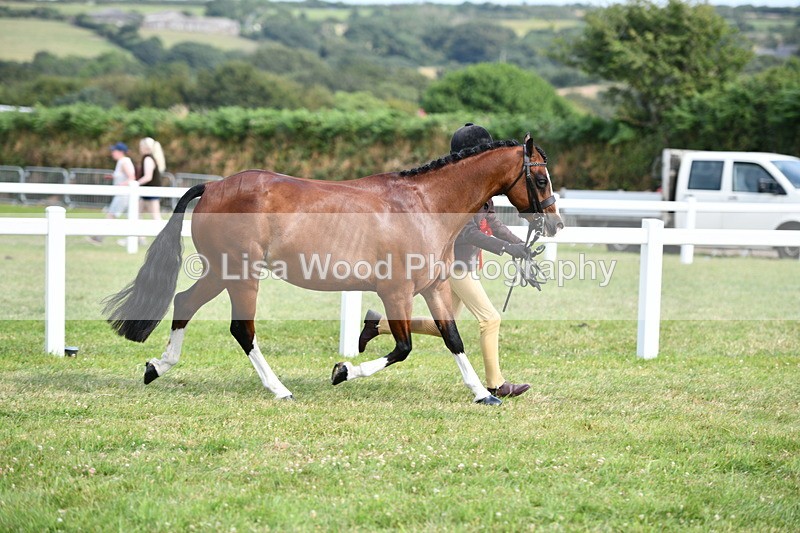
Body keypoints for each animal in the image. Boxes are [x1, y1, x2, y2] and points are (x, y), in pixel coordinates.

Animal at [103, 134, 563, 405]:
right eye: (540, 180)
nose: (555, 223)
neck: (423, 204)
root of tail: (213, 185)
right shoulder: (395, 292)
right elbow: (403, 348)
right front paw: (343, 371)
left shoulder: (434, 287)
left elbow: (452, 337)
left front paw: (483, 394)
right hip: (241, 275)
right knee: (242, 329)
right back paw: (279, 389)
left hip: (220, 272)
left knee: (184, 303)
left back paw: (156, 367)